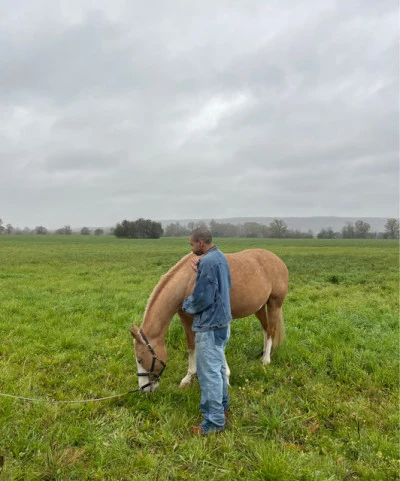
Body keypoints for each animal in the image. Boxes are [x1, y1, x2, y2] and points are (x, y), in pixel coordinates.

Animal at [130, 249, 288, 392]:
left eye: (140, 359)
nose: (143, 389)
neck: (188, 282)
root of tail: (277, 259)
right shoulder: (186, 320)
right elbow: (192, 347)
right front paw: (188, 378)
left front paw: (225, 378)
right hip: (259, 307)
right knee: (266, 329)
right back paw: (264, 353)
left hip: (274, 303)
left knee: (271, 330)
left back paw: (266, 360)